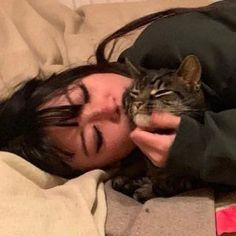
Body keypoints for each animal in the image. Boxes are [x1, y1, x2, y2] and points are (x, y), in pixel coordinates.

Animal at [112, 55, 206, 203]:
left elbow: (167, 185)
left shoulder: (194, 181)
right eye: (135, 93)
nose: (137, 103)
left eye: (161, 92)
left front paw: (144, 189)